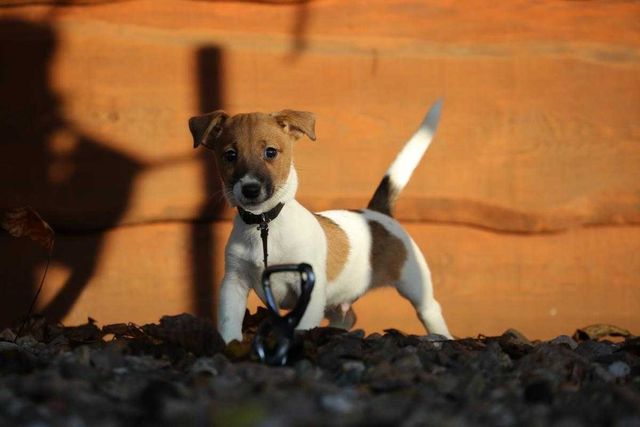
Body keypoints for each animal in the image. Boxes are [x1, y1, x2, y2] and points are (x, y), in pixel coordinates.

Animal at [189, 100, 450, 344]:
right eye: (230, 155)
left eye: (270, 152)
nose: (250, 189)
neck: (264, 224)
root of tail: (377, 212)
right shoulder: (234, 282)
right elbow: (229, 319)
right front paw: (229, 344)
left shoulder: (309, 289)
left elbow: (303, 327)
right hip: (334, 300)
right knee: (347, 316)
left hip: (413, 283)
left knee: (430, 309)